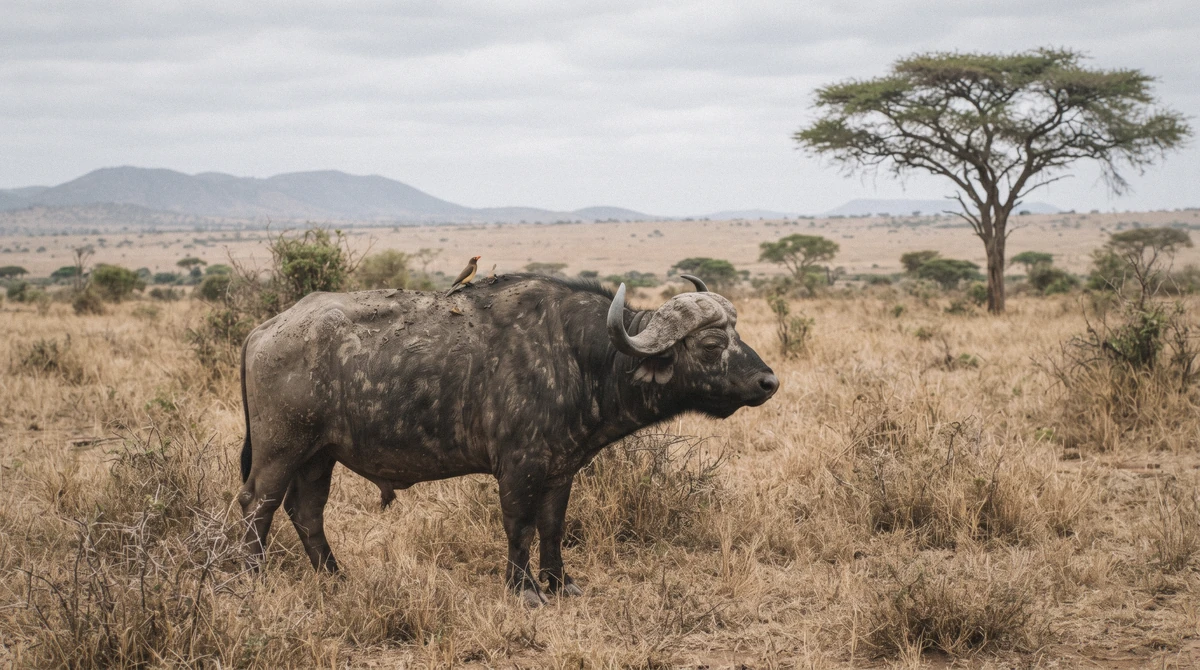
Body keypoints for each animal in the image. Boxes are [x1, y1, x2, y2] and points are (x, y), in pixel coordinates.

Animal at [238, 273, 777, 605]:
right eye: (711, 344)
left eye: (737, 333)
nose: (768, 381)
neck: (578, 357)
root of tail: (265, 329)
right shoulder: (518, 469)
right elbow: (519, 528)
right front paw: (524, 589)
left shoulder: (561, 470)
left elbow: (553, 528)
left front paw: (559, 583)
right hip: (280, 451)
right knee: (256, 504)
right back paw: (249, 575)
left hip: (319, 456)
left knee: (306, 511)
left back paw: (334, 576)